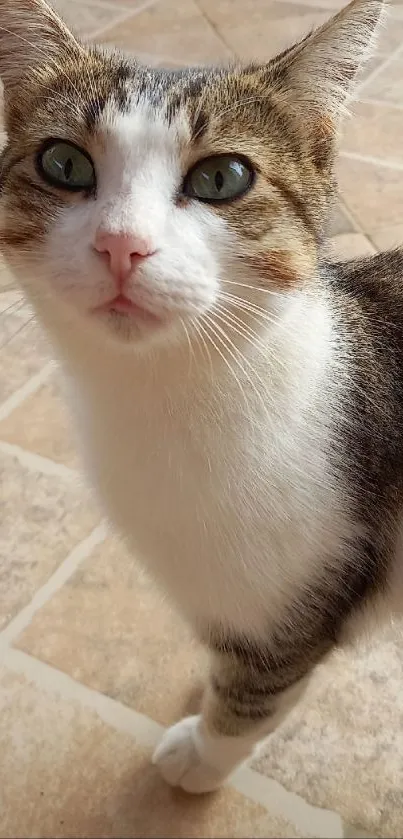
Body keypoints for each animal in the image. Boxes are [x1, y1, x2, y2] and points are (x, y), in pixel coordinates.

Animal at [0, 0, 400, 796]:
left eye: (223, 176)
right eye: (63, 163)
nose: (121, 244)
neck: (165, 398)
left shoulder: (297, 600)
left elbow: (255, 693)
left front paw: (202, 753)